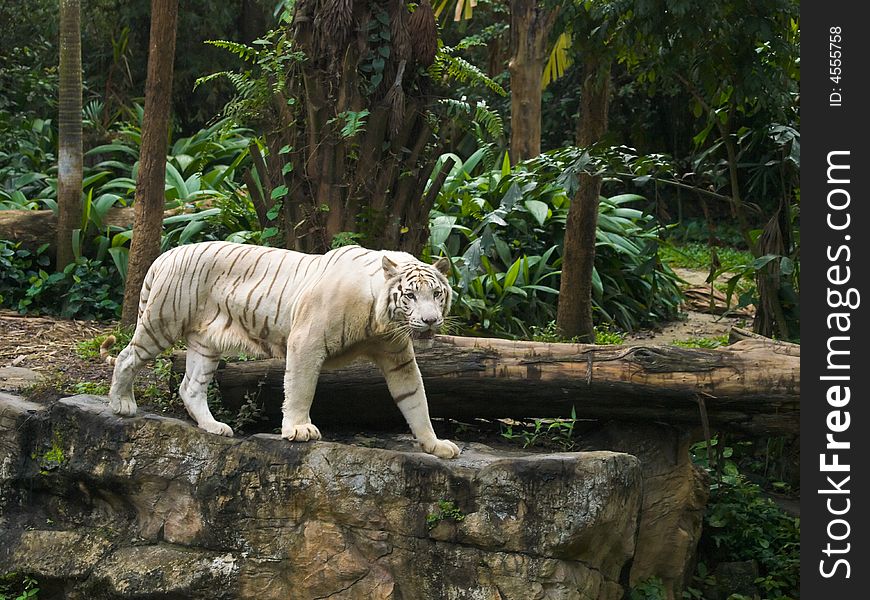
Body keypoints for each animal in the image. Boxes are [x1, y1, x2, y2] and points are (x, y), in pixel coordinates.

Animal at [102, 239, 464, 460]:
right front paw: (299, 430)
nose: (430, 320)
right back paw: (122, 405)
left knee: (190, 387)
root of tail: (167, 254)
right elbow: (301, 388)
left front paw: (435, 445)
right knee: (127, 357)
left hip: (206, 343)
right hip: (163, 321)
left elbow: (415, 399)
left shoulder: (397, 355)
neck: (379, 321)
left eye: (436, 293)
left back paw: (215, 427)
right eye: (410, 296)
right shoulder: (307, 341)